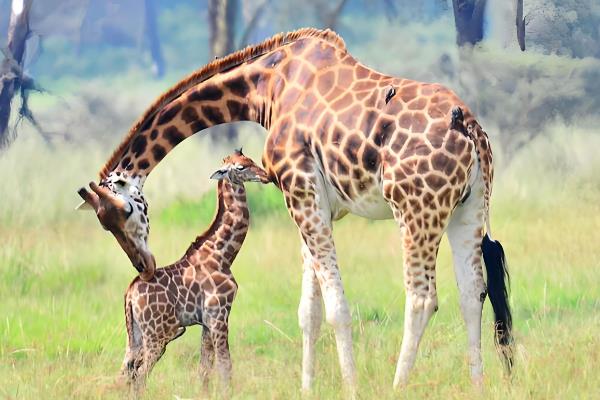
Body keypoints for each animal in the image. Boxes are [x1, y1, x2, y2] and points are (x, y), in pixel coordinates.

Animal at [120, 151, 268, 394]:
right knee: (140, 375)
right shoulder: (219, 315)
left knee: (125, 371)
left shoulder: (207, 322)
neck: (223, 255)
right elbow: (225, 365)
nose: (265, 175)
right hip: (158, 336)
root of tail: (130, 294)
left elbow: (204, 369)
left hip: (136, 335)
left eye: (251, 160)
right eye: (240, 167)